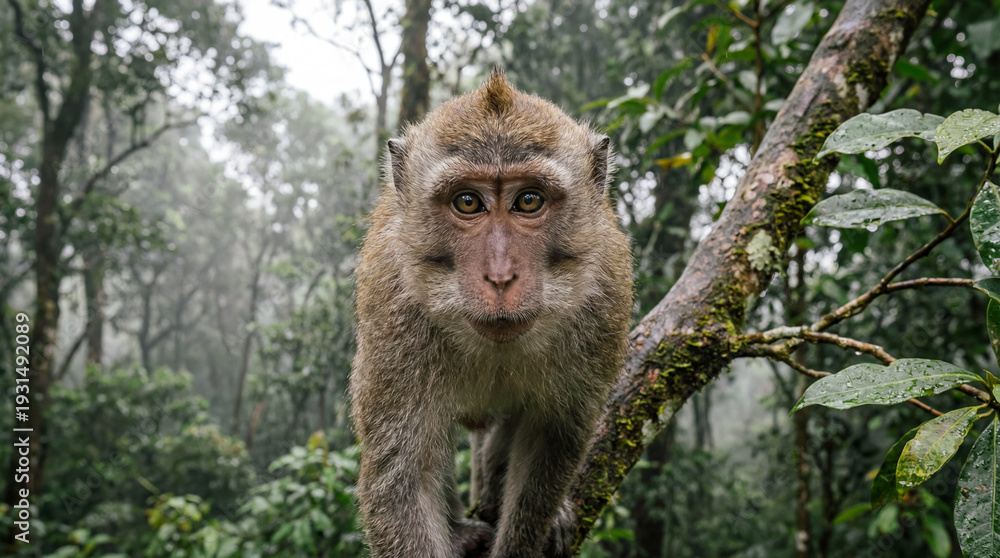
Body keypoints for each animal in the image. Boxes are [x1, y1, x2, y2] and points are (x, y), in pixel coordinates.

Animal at [350, 69, 634, 558]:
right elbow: (404, 478)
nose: (500, 277)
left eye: (529, 201)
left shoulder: (604, 302)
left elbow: (548, 445)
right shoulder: (392, 311)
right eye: (467, 202)